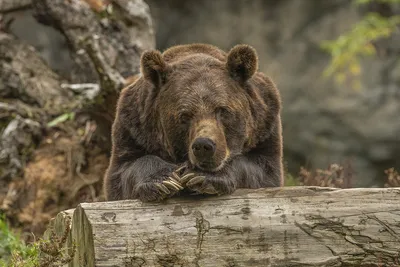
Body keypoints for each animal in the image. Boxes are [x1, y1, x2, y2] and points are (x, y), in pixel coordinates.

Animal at [103, 43, 284, 202]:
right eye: (184, 115)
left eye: (222, 110)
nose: (204, 145)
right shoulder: (133, 127)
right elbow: (124, 170)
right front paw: (164, 180)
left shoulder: (265, 125)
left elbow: (262, 169)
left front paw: (202, 176)